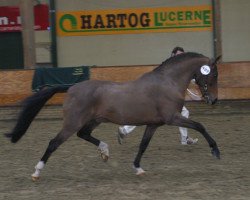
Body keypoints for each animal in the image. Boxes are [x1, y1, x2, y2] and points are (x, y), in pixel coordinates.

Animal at [5, 51, 221, 180]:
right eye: (213, 74)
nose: (213, 100)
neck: (167, 82)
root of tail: (72, 87)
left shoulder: (154, 124)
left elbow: (143, 145)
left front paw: (137, 168)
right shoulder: (172, 118)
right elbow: (200, 125)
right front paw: (215, 151)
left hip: (94, 120)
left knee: (83, 134)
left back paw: (105, 151)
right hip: (72, 123)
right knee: (53, 143)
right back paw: (36, 172)